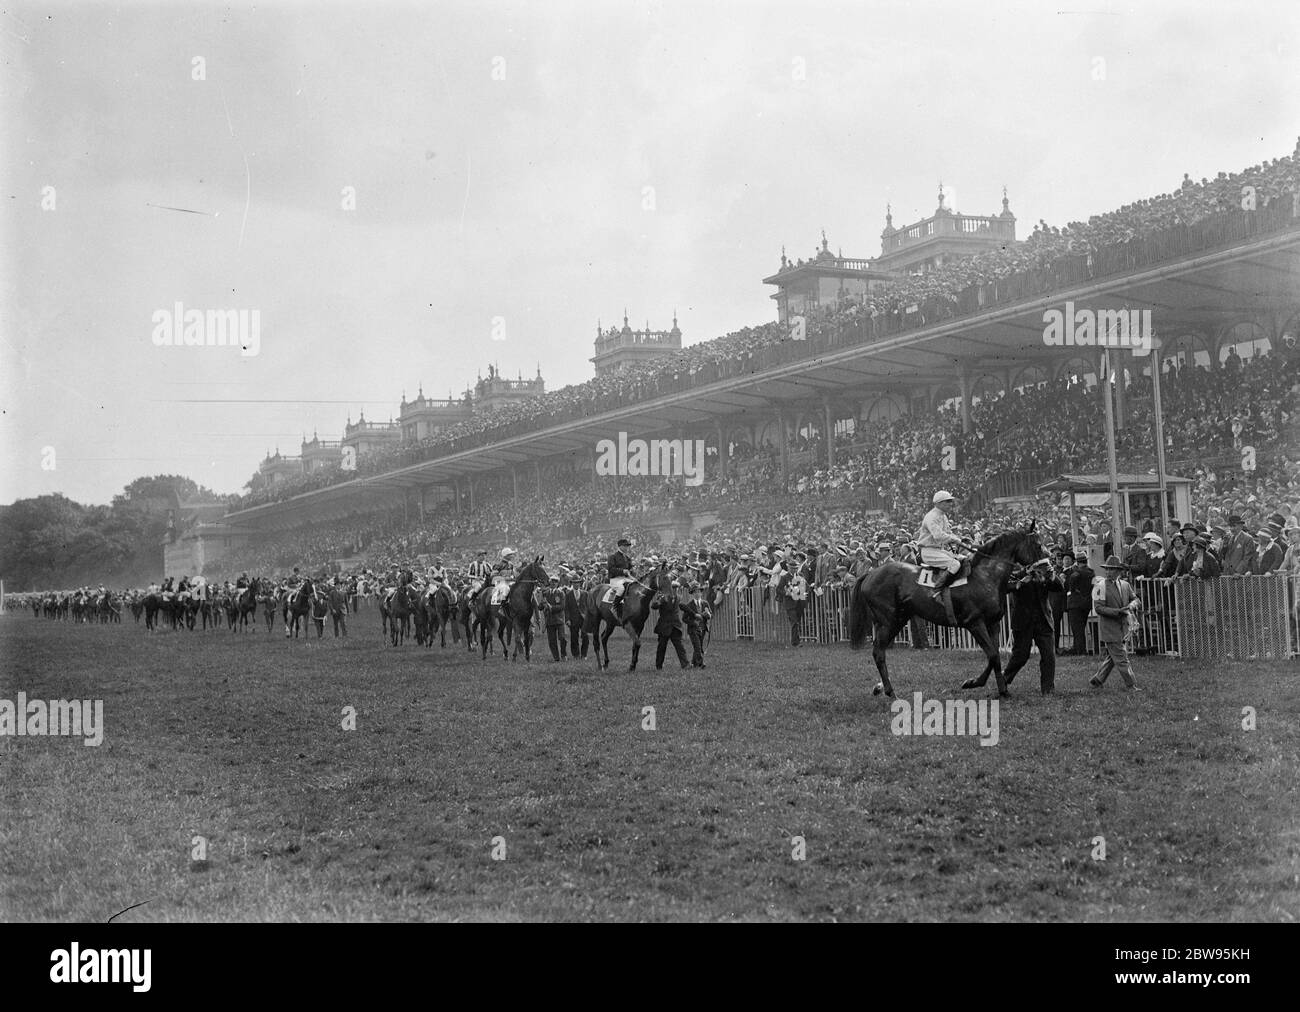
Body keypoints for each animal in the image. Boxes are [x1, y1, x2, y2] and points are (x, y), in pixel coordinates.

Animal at [847, 525, 1050, 697]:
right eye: (1038, 545)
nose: (1048, 569)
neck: (985, 576)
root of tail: (870, 573)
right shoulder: (974, 623)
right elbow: (992, 655)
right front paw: (978, 683)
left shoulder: (993, 623)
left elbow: (995, 656)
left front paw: (997, 689)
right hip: (889, 621)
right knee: (878, 652)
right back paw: (890, 691)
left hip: (895, 620)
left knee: (879, 650)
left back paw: (881, 687)